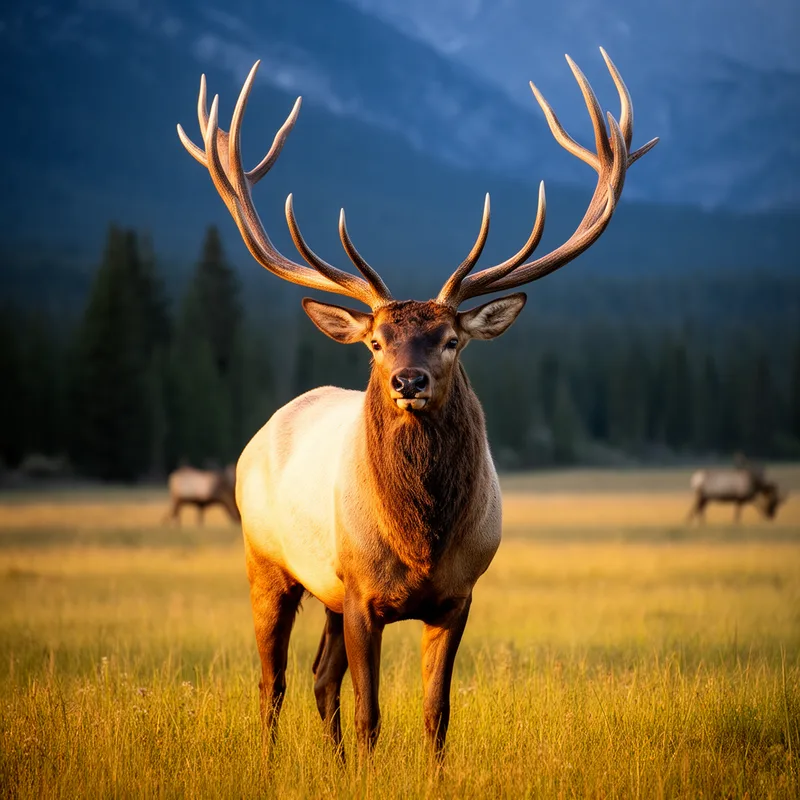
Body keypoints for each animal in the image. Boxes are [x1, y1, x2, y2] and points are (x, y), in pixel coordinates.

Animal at [177, 48, 658, 763]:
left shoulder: (457, 596)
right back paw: (269, 763)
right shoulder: (361, 593)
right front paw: (366, 770)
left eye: (451, 339)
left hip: (324, 591)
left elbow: (436, 714)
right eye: (376, 341)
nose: (408, 381)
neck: (420, 538)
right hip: (266, 559)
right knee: (274, 682)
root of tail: (261, 433)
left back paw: (331, 764)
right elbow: (371, 712)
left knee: (319, 677)